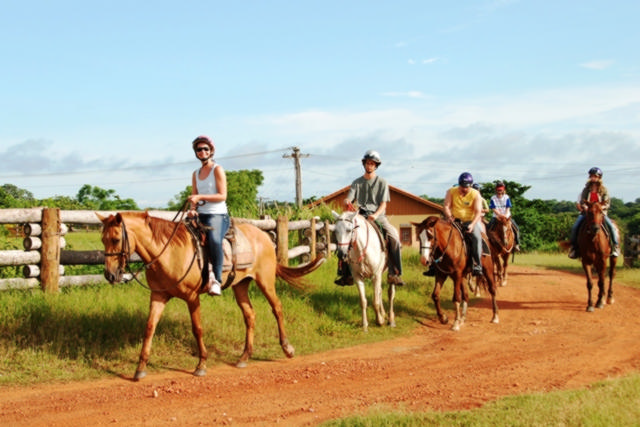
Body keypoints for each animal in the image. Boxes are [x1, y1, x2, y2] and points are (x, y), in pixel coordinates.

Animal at [98, 211, 324, 382]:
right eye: (102, 240)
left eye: (116, 239)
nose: (110, 275)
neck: (168, 252)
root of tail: (264, 236)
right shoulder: (158, 295)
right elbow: (149, 328)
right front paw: (140, 369)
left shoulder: (191, 297)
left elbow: (197, 329)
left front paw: (201, 365)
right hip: (240, 285)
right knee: (250, 315)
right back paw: (244, 357)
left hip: (265, 281)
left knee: (277, 308)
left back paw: (287, 348)